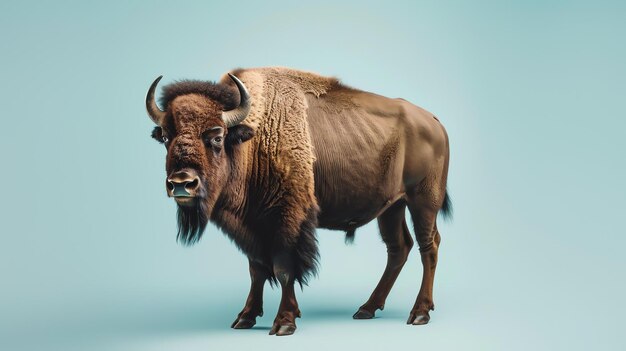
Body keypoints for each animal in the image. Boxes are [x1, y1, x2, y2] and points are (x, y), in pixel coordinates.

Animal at [145, 67, 448, 336]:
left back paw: (419, 313)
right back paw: (367, 308)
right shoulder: (252, 226)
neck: (252, 141)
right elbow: (256, 269)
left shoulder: (287, 219)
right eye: (165, 136)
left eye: (217, 136)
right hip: (392, 207)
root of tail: (434, 121)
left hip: (423, 201)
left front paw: (284, 322)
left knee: (428, 246)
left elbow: (283, 269)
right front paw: (245, 318)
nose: (182, 183)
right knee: (398, 247)